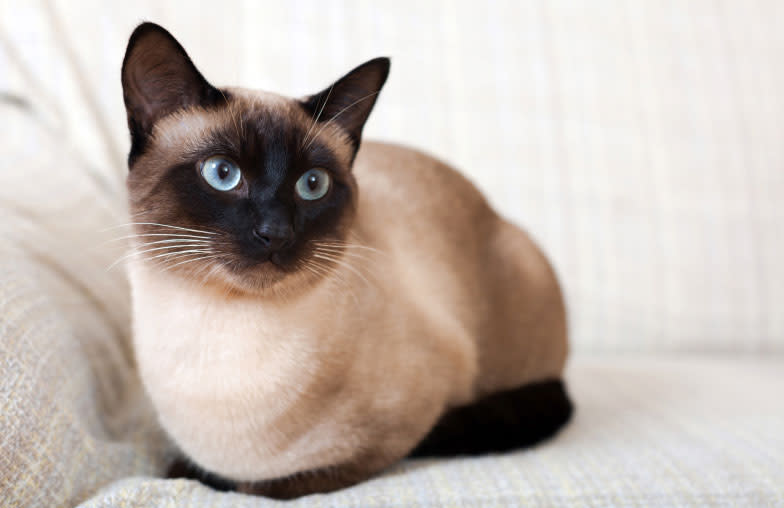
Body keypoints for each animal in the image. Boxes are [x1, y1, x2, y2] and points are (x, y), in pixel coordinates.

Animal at [121, 22, 568, 496]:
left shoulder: (408, 419)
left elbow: (278, 483)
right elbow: (179, 468)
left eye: (312, 184)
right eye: (222, 174)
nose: (275, 232)